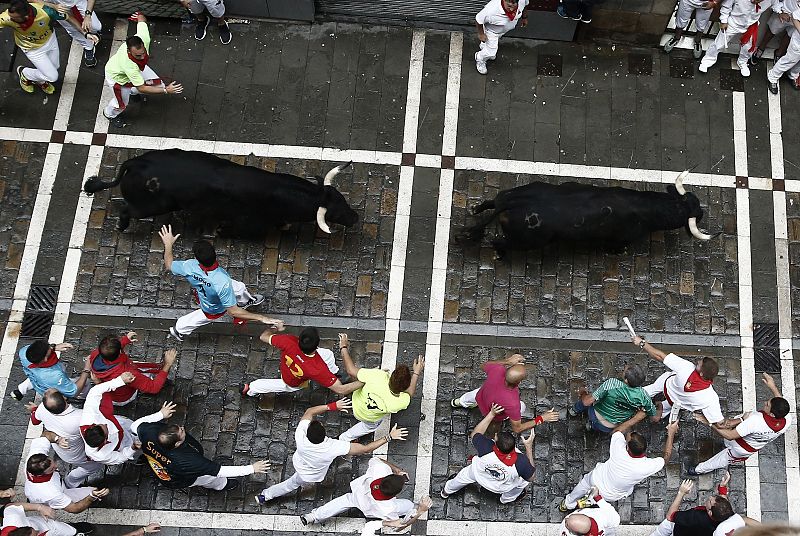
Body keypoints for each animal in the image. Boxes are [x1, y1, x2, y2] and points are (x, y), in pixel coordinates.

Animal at [83, 150, 358, 236]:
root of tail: (135, 163)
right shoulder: (248, 225)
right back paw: (121, 227)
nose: (355, 218)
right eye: (333, 213)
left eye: (343, 199)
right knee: (126, 210)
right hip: (151, 206)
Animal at [456, 176, 720, 258]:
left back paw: (475, 209)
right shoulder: (620, 239)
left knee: (491, 202)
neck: (644, 208)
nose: (702, 212)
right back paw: (500, 256)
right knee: (497, 241)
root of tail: (513, 203)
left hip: (508, 195)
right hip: (526, 242)